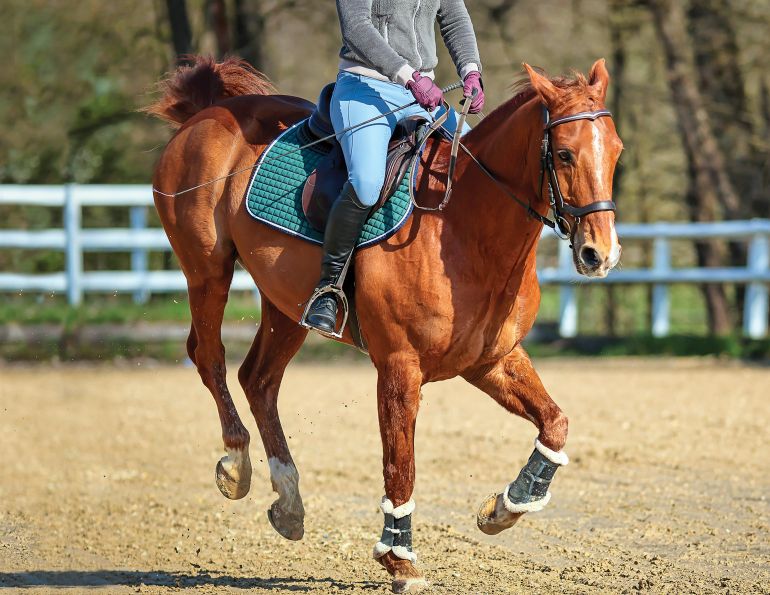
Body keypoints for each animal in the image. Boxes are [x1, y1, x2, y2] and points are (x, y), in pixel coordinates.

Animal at [146, 56, 622, 593]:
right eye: (563, 154)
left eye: (616, 152)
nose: (600, 254)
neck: (464, 228)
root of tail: (208, 113)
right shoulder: (399, 369)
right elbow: (400, 464)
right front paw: (399, 558)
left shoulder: (491, 361)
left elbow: (556, 424)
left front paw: (506, 506)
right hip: (207, 272)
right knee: (210, 357)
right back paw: (235, 463)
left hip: (286, 306)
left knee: (259, 380)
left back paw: (289, 502)